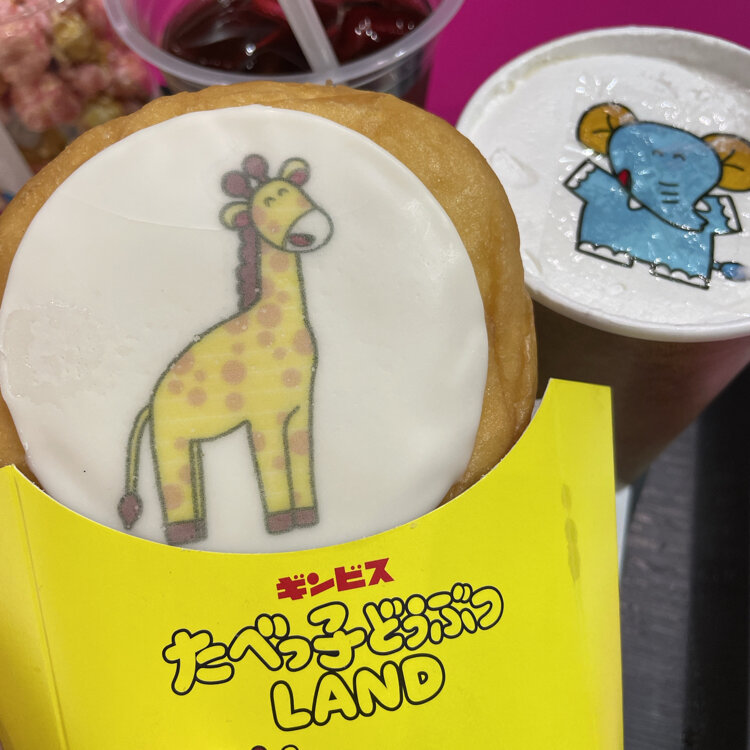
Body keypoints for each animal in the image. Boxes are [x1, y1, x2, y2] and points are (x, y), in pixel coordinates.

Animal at [117, 154, 333, 545]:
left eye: (297, 191)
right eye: (267, 202)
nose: (315, 229)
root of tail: (150, 405)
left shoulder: (301, 408)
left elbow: (301, 460)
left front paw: (307, 518)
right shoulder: (265, 415)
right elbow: (273, 467)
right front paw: (281, 524)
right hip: (169, 440)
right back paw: (184, 538)